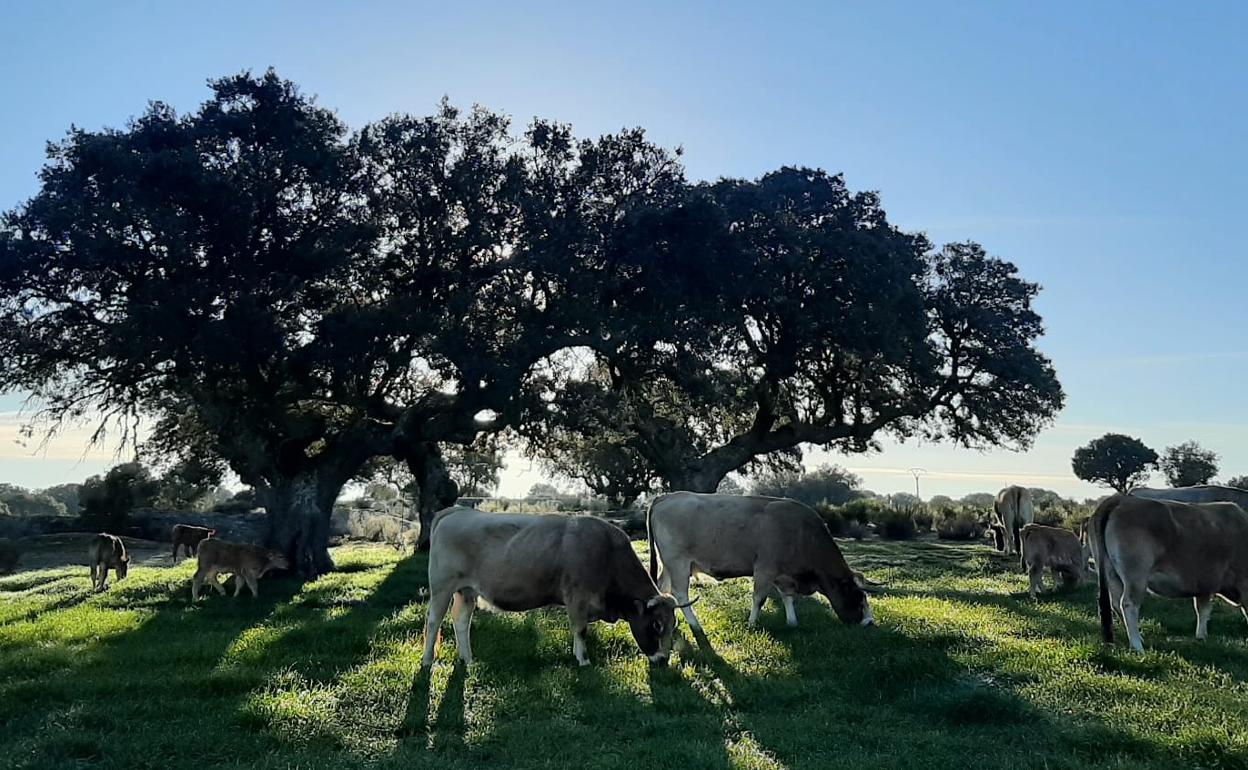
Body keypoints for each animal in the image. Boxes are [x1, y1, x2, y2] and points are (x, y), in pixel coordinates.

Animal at [419, 504, 678, 668]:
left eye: (672, 625)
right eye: (656, 624)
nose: (663, 660)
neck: (607, 551)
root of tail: (456, 510)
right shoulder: (577, 598)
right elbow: (580, 630)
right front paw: (583, 660)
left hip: (466, 591)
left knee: (461, 621)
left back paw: (468, 659)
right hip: (442, 586)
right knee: (433, 622)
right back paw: (427, 660)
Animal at [648, 491, 873, 631]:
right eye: (859, 597)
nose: (870, 622)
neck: (802, 533)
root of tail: (667, 496)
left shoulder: (783, 575)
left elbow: (787, 597)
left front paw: (792, 621)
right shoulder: (765, 569)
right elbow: (759, 598)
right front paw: (751, 623)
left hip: (669, 565)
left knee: (662, 587)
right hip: (678, 562)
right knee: (680, 593)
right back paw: (694, 624)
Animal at [1088, 496, 1248, 653]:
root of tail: (1119, 499)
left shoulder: (1204, 584)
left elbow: (1203, 609)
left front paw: (1201, 637)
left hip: (1110, 572)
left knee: (1115, 603)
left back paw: (1139, 638)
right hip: (1136, 574)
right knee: (1128, 603)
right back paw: (1137, 646)